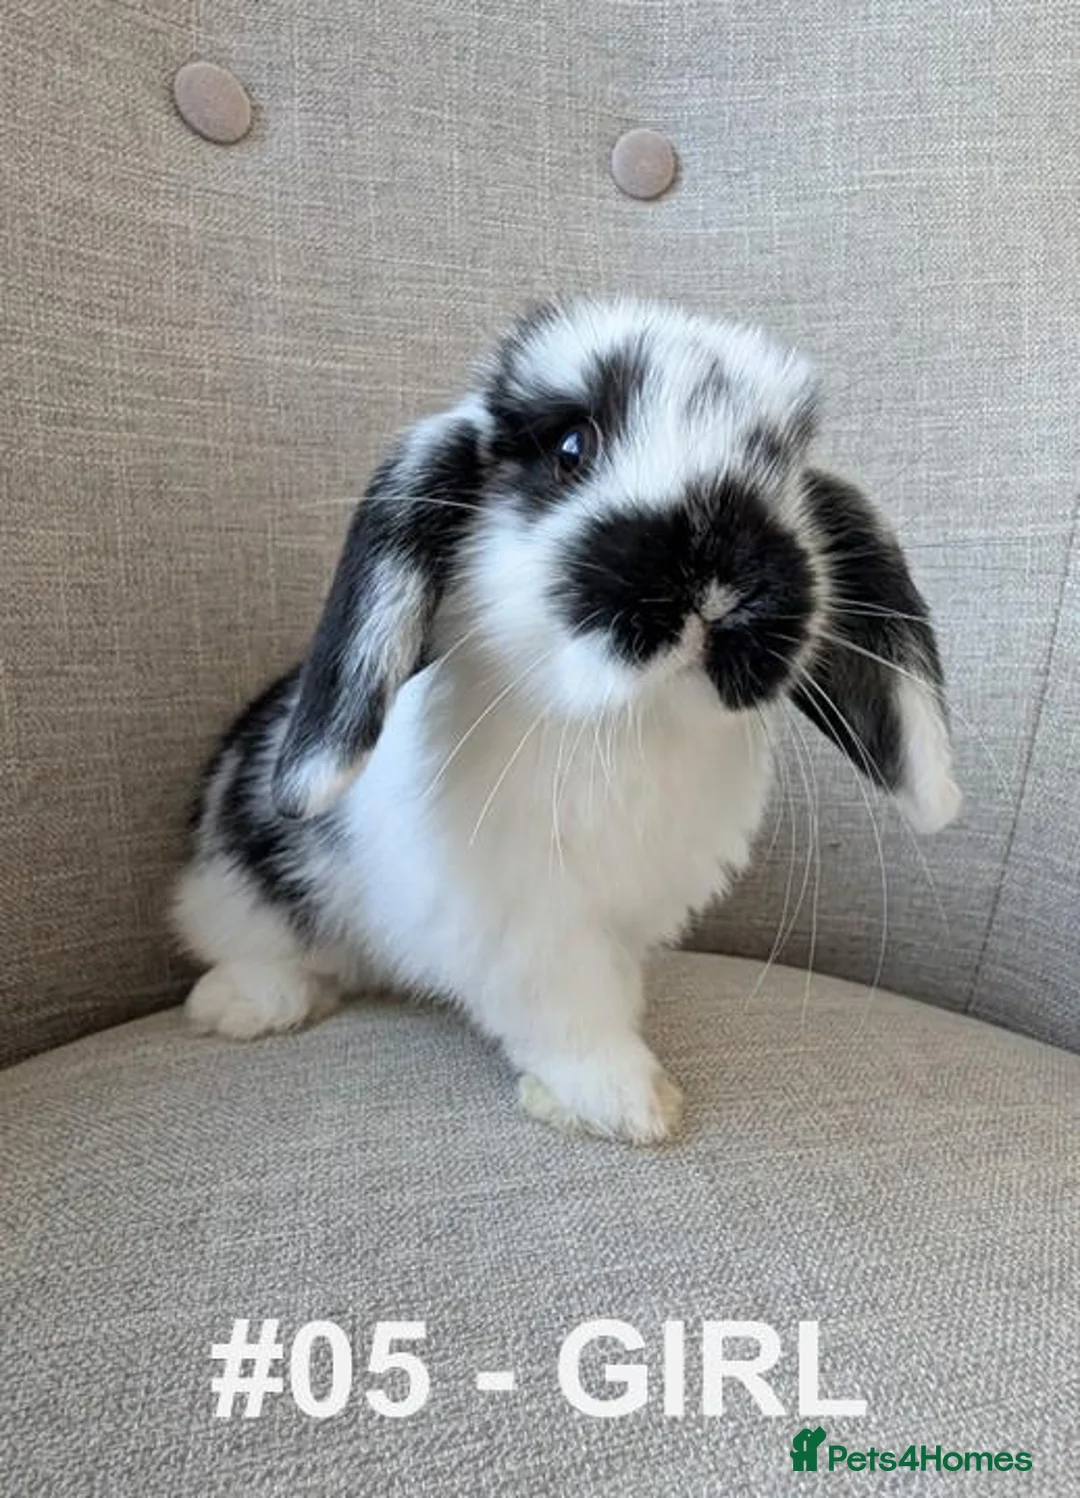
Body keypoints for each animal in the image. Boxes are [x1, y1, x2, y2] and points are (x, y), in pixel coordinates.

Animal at [173, 298, 961, 1144]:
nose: (722, 579)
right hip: (246, 886)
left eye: (783, 473)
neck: (628, 722)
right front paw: (626, 1105)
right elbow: (569, 1011)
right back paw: (241, 1006)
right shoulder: (526, 925)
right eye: (571, 448)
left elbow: (611, 990)